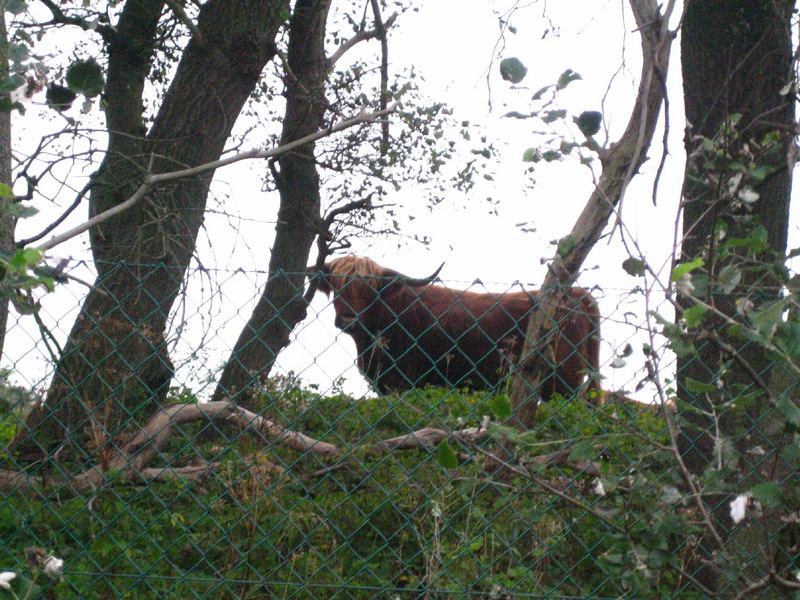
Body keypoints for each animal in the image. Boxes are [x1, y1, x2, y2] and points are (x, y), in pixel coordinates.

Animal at [310, 255, 600, 400]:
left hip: (563, 381)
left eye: (369, 289)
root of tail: (578, 293)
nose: (347, 319)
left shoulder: (400, 382)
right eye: (335, 285)